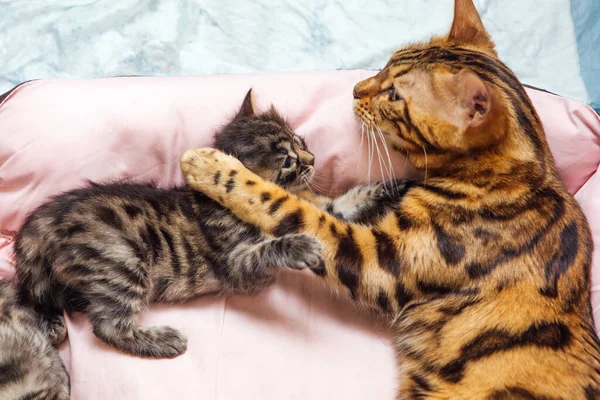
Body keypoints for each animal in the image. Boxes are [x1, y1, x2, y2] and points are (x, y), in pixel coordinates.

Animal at [15, 90, 408, 360]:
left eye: (300, 141)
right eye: (287, 161)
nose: (312, 159)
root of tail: (40, 225)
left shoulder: (318, 208)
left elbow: (338, 207)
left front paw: (390, 187)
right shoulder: (239, 265)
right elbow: (271, 246)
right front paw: (298, 244)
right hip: (119, 261)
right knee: (107, 326)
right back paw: (163, 341)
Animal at [179, 0, 600, 396]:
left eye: (394, 95)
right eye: (385, 65)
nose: (354, 89)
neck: (514, 172)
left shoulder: (377, 260)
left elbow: (288, 205)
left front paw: (211, 165)